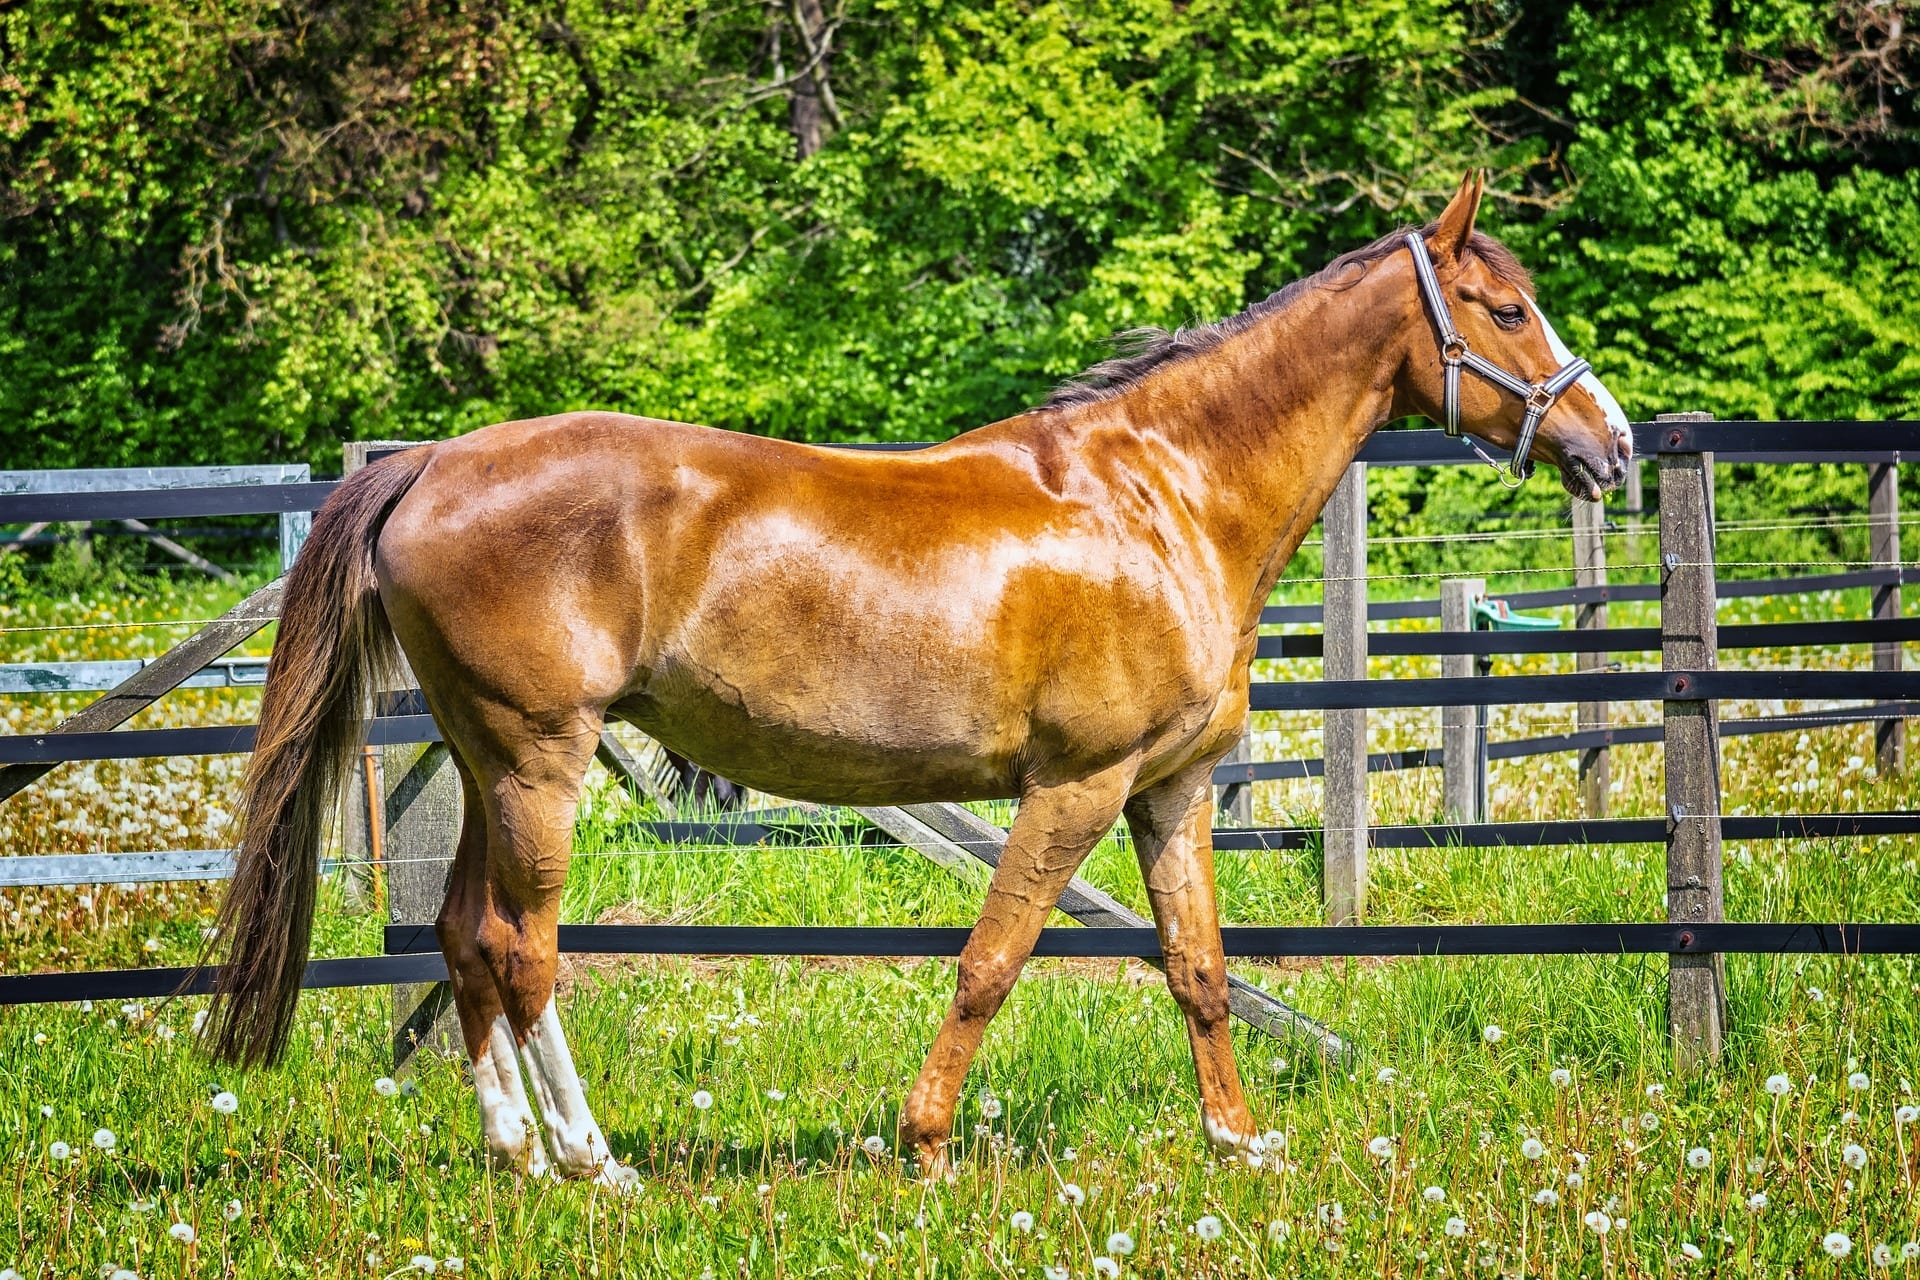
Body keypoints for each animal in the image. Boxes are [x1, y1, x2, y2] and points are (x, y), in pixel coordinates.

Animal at [202, 175, 1628, 1189]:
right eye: (1505, 309)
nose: (1609, 443)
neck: (1161, 496)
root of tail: (431, 462)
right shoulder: (1076, 786)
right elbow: (991, 962)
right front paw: (928, 1142)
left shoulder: (1170, 792)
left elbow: (1199, 968)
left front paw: (1236, 1141)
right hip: (539, 758)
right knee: (523, 948)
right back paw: (595, 1160)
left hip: (490, 759)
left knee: (463, 937)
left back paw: (516, 1152)